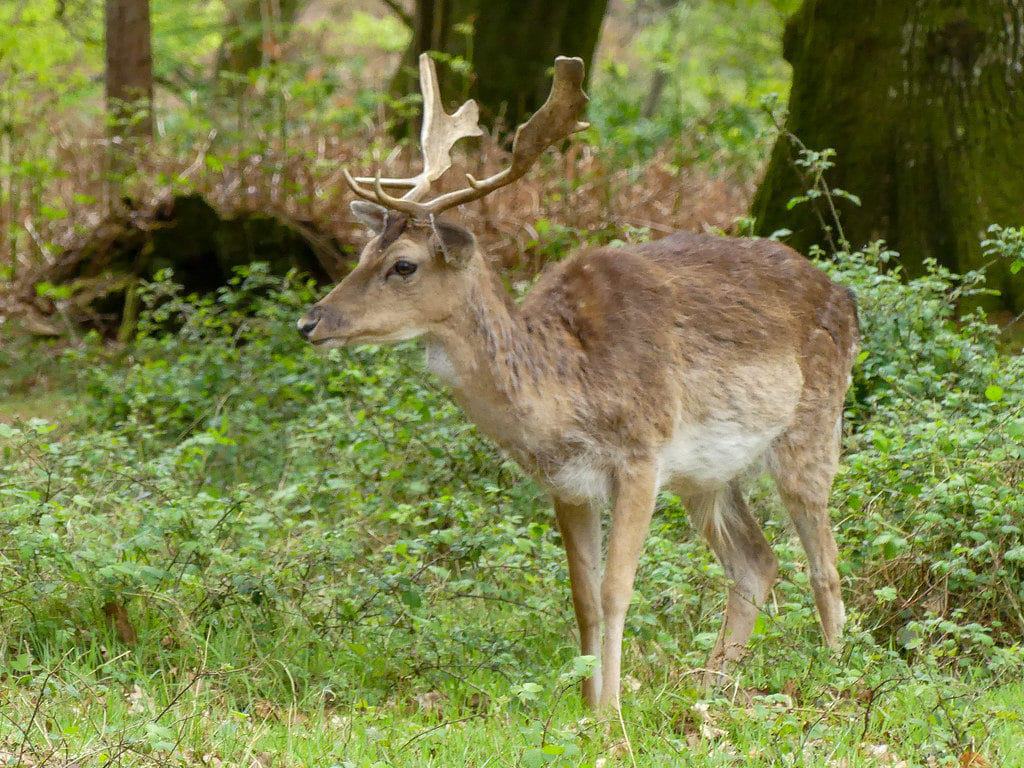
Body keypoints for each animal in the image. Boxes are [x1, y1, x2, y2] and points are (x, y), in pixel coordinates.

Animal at [297, 54, 859, 710]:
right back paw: (710, 686)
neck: (567, 391)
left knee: (825, 562)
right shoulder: (565, 484)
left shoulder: (642, 455)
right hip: (708, 476)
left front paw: (613, 712)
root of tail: (846, 297)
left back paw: (836, 676)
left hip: (812, 429)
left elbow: (617, 590)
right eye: (363, 253)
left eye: (403, 265)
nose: (310, 321)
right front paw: (588, 709)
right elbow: (583, 597)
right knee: (757, 561)